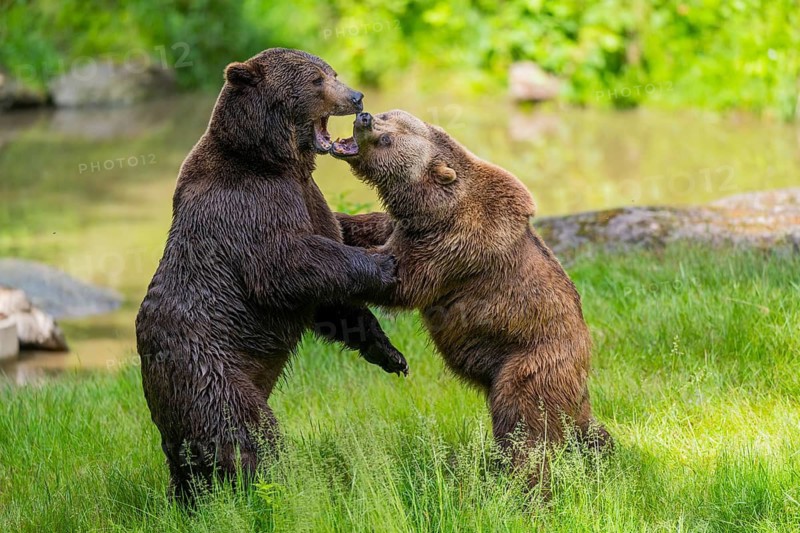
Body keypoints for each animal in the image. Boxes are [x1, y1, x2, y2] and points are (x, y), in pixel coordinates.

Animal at [135, 49, 408, 504]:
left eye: (332, 72)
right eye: (316, 80)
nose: (355, 96)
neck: (274, 160)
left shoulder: (307, 196)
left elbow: (331, 281)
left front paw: (389, 353)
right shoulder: (250, 206)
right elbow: (289, 265)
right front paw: (385, 265)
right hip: (210, 371)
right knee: (243, 432)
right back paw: (277, 484)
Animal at [331, 110, 611, 487]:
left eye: (387, 138)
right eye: (387, 116)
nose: (364, 117)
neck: (433, 206)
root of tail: (585, 356)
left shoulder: (456, 245)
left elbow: (405, 281)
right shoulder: (409, 226)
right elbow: (377, 227)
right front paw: (339, 220)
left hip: (530, 363)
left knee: (524, 427)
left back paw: (520, 483)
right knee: (584, 429)